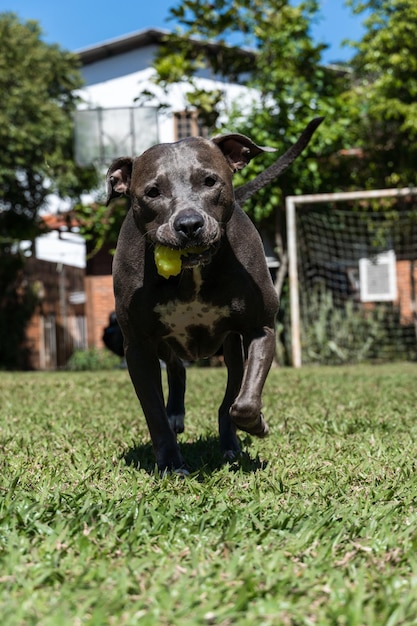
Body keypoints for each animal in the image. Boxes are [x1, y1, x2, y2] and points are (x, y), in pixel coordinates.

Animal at [106, 117, 322, 470]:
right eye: (152, 192)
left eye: (209, 181)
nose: (189, 224)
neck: (191, 273)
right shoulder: (137, 346)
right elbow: (154, 413)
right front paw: (170, 462)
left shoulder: (260, 328)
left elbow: (243, 403)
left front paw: (257, 424)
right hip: (161, 341)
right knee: (177, 367)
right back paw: (177, 414)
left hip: (231, 346)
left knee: (229, 398)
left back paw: (231, 443)